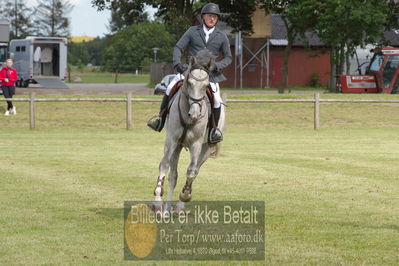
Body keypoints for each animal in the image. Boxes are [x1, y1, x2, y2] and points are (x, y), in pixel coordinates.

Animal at [153, 50, 225, 215]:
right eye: (190, 83)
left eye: (206, 85)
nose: (195, 114)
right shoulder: (172, 140)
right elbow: (164, 165)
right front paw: (158, 201)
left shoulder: (196, 144)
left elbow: (191, 171)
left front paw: (185, 195)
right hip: (178, 146)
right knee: (173, 176)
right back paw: (166, 210)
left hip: (206, 148)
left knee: (195, 170)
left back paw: (179, 206)